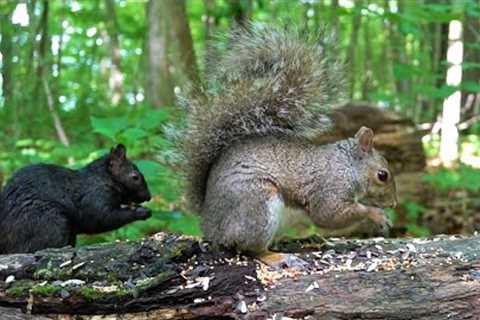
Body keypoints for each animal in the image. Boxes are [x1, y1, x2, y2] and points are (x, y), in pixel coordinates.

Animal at [0, 144, 152, 254]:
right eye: (135, 177)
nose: (149, 196)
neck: (102, 179)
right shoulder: (94, 198)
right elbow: (104, 218)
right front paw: (141, 212)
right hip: (48, 222)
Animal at [179, 24, 398, 264]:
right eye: (382, 175)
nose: (394, 204)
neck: (347, 165)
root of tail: (210, 224)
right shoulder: (329, 187)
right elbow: (328, 214)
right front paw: (376, 215)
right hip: (258, 205)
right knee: (250, 247)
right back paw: (276, 256)